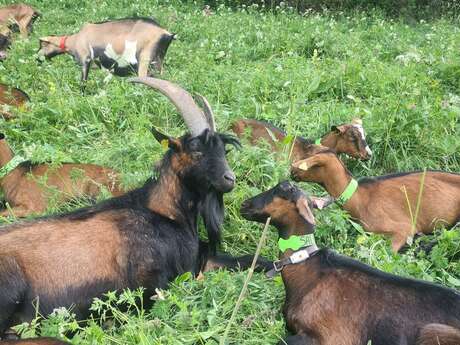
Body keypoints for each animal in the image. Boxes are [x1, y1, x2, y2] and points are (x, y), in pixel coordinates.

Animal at [0, 77, 270, 336]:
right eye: (196, 151)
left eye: (223, 150)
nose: (229, 179)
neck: (165, 214)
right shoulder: (153, 283)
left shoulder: (197, 262)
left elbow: (249, 260)